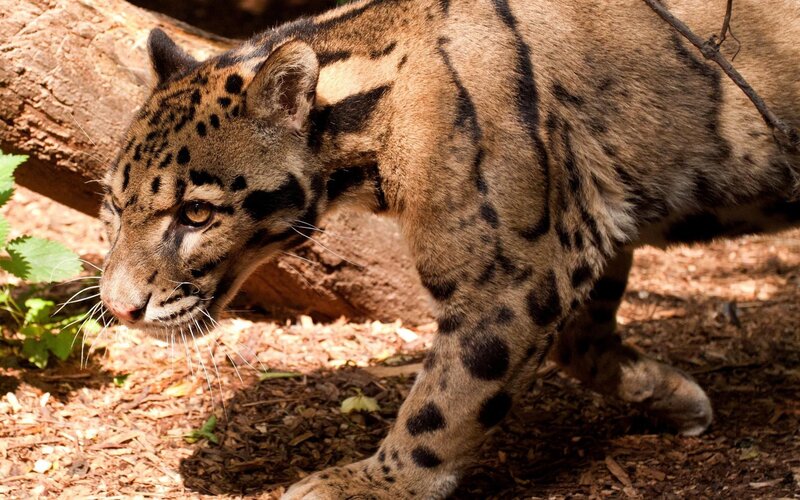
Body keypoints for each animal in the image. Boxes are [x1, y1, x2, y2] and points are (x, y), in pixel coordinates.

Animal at [98, 0, 800, 497]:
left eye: (196, 213)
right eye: (114, 203)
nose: (120, 307)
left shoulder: (512, 275)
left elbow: (447, 399)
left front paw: (371, 484)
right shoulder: (587, 222)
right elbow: (583, 344)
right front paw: (668, 393)